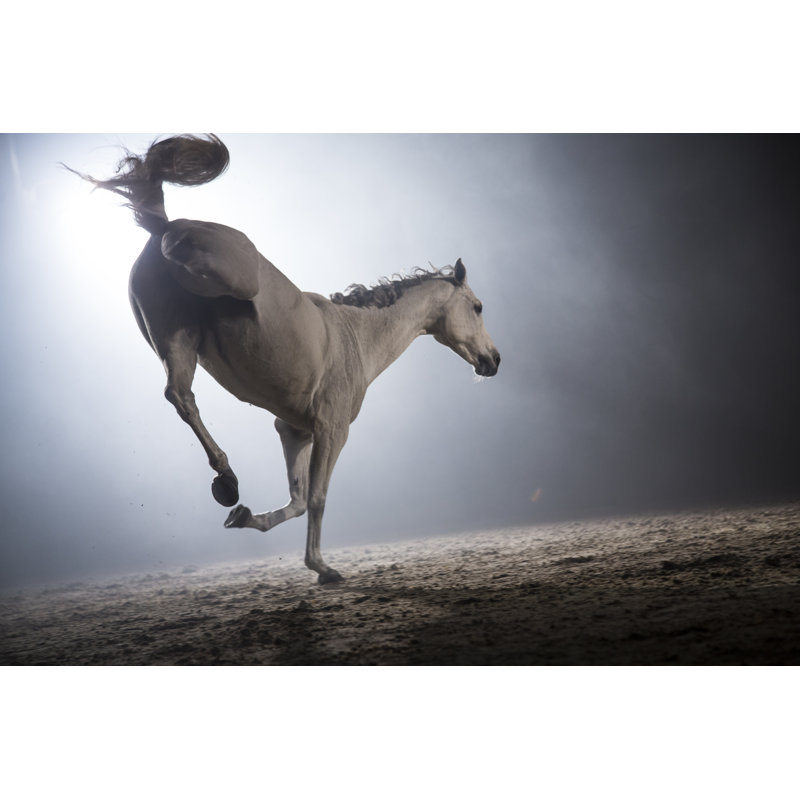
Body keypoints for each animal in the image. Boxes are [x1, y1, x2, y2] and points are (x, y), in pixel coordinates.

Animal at [67, 134, 501, 584]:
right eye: (478, 307)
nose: (494, 360)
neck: (355, 336)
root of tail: (165, 226)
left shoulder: (295, 431)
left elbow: (296, 500)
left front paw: (244, 518)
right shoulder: (332, 431)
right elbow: (318, 498)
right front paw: (322, 567)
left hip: (175, 340)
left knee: (180, 396)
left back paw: (227, 481)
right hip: (218, 290)